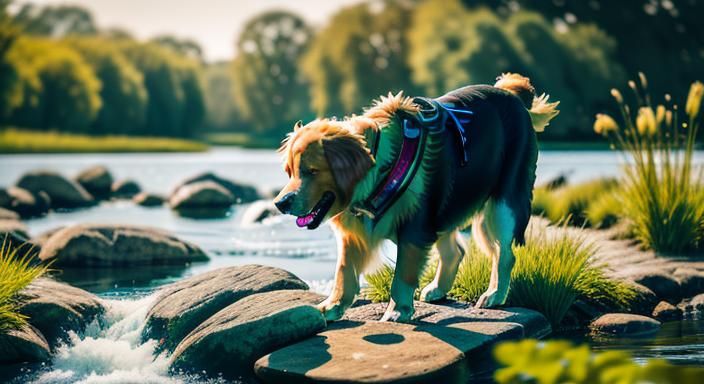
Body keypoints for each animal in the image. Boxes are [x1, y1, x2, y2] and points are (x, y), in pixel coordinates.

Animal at [274, 73, 556, 322]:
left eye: (312, 171)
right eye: (289, 171)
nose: (280, 203)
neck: (378, 169)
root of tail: (512, 95)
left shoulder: (415, 226)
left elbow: (402, 275)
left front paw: (397, 311)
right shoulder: (356, 235)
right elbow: (344, 273)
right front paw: (332, 307)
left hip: (502, 207)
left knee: (505, 254)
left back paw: (495, 295)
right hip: (446, 206)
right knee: (456, 251)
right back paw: (439, 289)